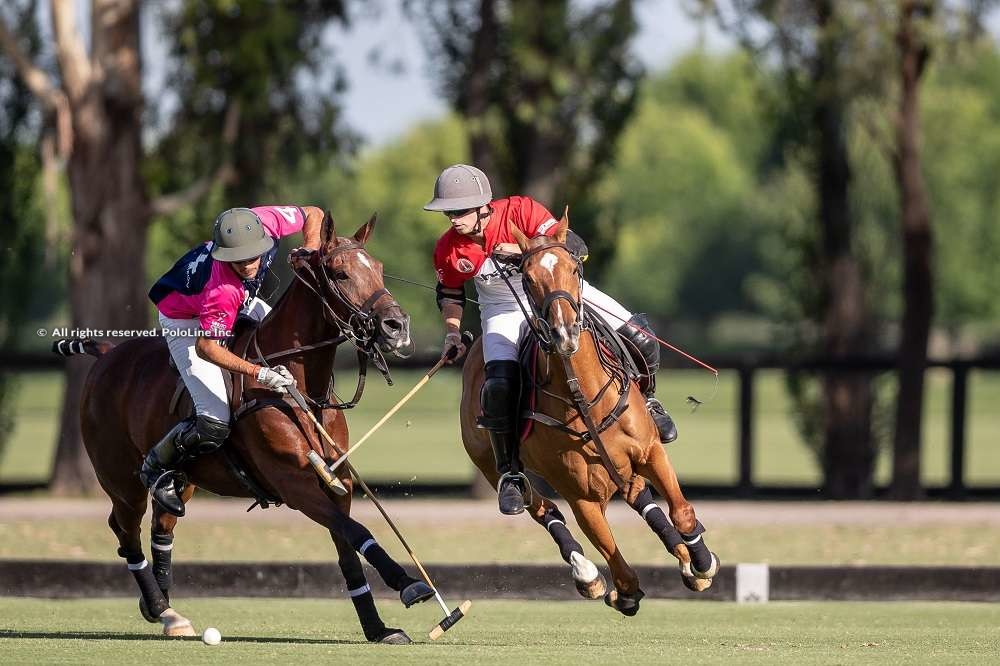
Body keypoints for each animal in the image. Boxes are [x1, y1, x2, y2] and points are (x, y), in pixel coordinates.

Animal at [61, 210, 430, 640]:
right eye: (340, 274)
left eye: (380, 269)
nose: (396, 326)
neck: (305, 392)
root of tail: (107, 354)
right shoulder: (294, 482)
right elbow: (358, 532)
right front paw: (410, 585)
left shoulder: (337, 484)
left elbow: (348, 549)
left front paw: (378, 627)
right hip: (119, 478)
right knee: (126, 530)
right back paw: (158, 605)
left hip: (184, 481)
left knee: (162, 524)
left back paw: (168, 609)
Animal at [460, 213, 720, 612]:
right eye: (528, 277)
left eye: (573, 267)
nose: (565, 333)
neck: (583, 397)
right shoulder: (581, 496)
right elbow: (616, 560)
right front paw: (620, 591)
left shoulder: (651, 452)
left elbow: (681, 511)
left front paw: (702, 562)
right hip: (490, 466)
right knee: (538, 506)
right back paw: (585, 573)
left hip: (623, 465)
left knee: (638, 494)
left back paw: (684, 559)